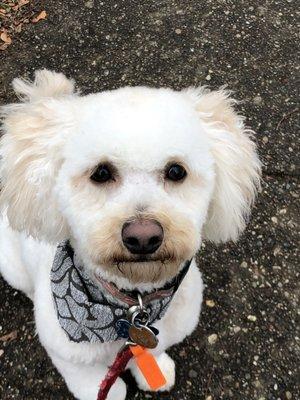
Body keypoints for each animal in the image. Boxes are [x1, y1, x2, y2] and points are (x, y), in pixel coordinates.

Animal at [0, 70, 260, 398]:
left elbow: (153, 350)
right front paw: (108, 390)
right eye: (100, 173)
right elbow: (91, 381)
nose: (143, 237)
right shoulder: (68, 354)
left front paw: (156, 369)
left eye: (177, 171)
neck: (132, 309)